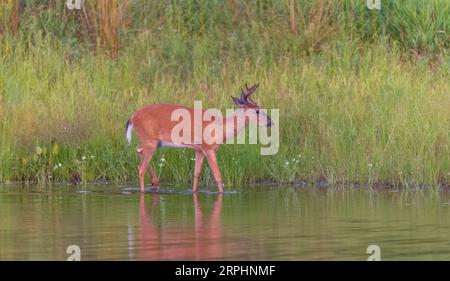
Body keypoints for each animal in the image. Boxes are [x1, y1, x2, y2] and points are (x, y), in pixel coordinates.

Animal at [124, 83, 270, 191]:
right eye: (257, 110)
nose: (270, 122)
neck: (220, 127)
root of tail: (132, 117)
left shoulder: (199, 149)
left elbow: (196, 175)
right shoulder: (209, 148)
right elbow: (218, 176)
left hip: (153, 142)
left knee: (138, 150)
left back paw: (155, 182)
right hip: (150, 142)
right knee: (141, 168)